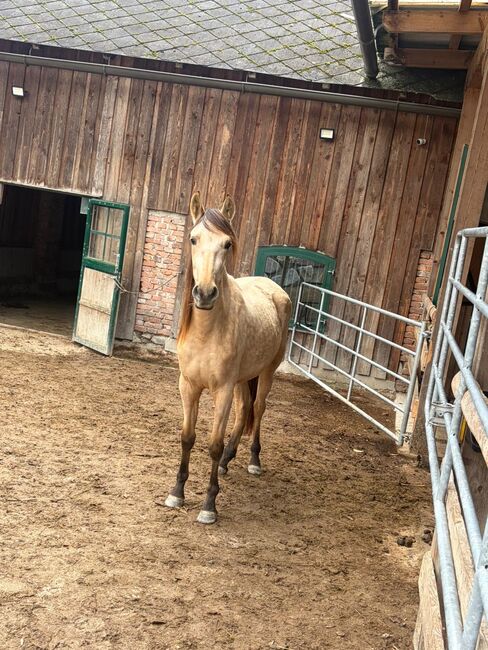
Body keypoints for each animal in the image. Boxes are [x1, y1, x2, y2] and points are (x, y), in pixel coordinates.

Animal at [164, 192, 292, 524]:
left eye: (227, 244)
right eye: (193, 239)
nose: (205, 293)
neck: (207, 331)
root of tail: (274, 288)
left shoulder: (221, 390)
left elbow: (212, 443)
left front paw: (209, 505)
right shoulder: (188, 386)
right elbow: (187, 437)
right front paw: (176, 493)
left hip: (266, 371)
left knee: (257, 408)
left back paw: (253, 460)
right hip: (243, 378)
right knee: (244, 408)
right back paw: (227, 460)